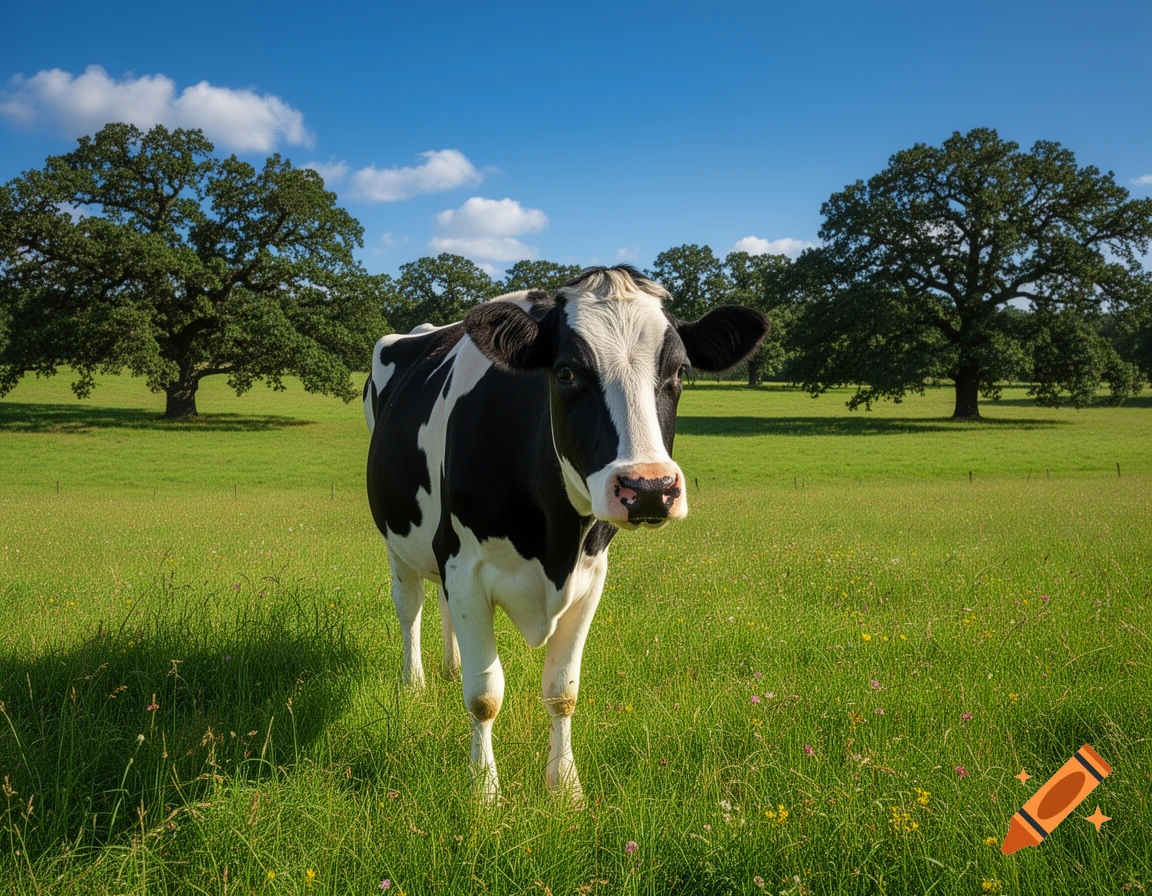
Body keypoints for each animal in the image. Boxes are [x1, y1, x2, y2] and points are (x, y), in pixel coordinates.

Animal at [364, 265, 768, 801]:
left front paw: (566, 788)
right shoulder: (465, 566)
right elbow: (485, 695)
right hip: (397, 540)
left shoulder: (590, 574)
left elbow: (562, 692)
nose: (649, 488)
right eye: (566, 372)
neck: (552, 543)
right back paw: (415, 683)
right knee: (409, 607)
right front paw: (485, 793)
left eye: (681, 372)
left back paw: (450, 666)